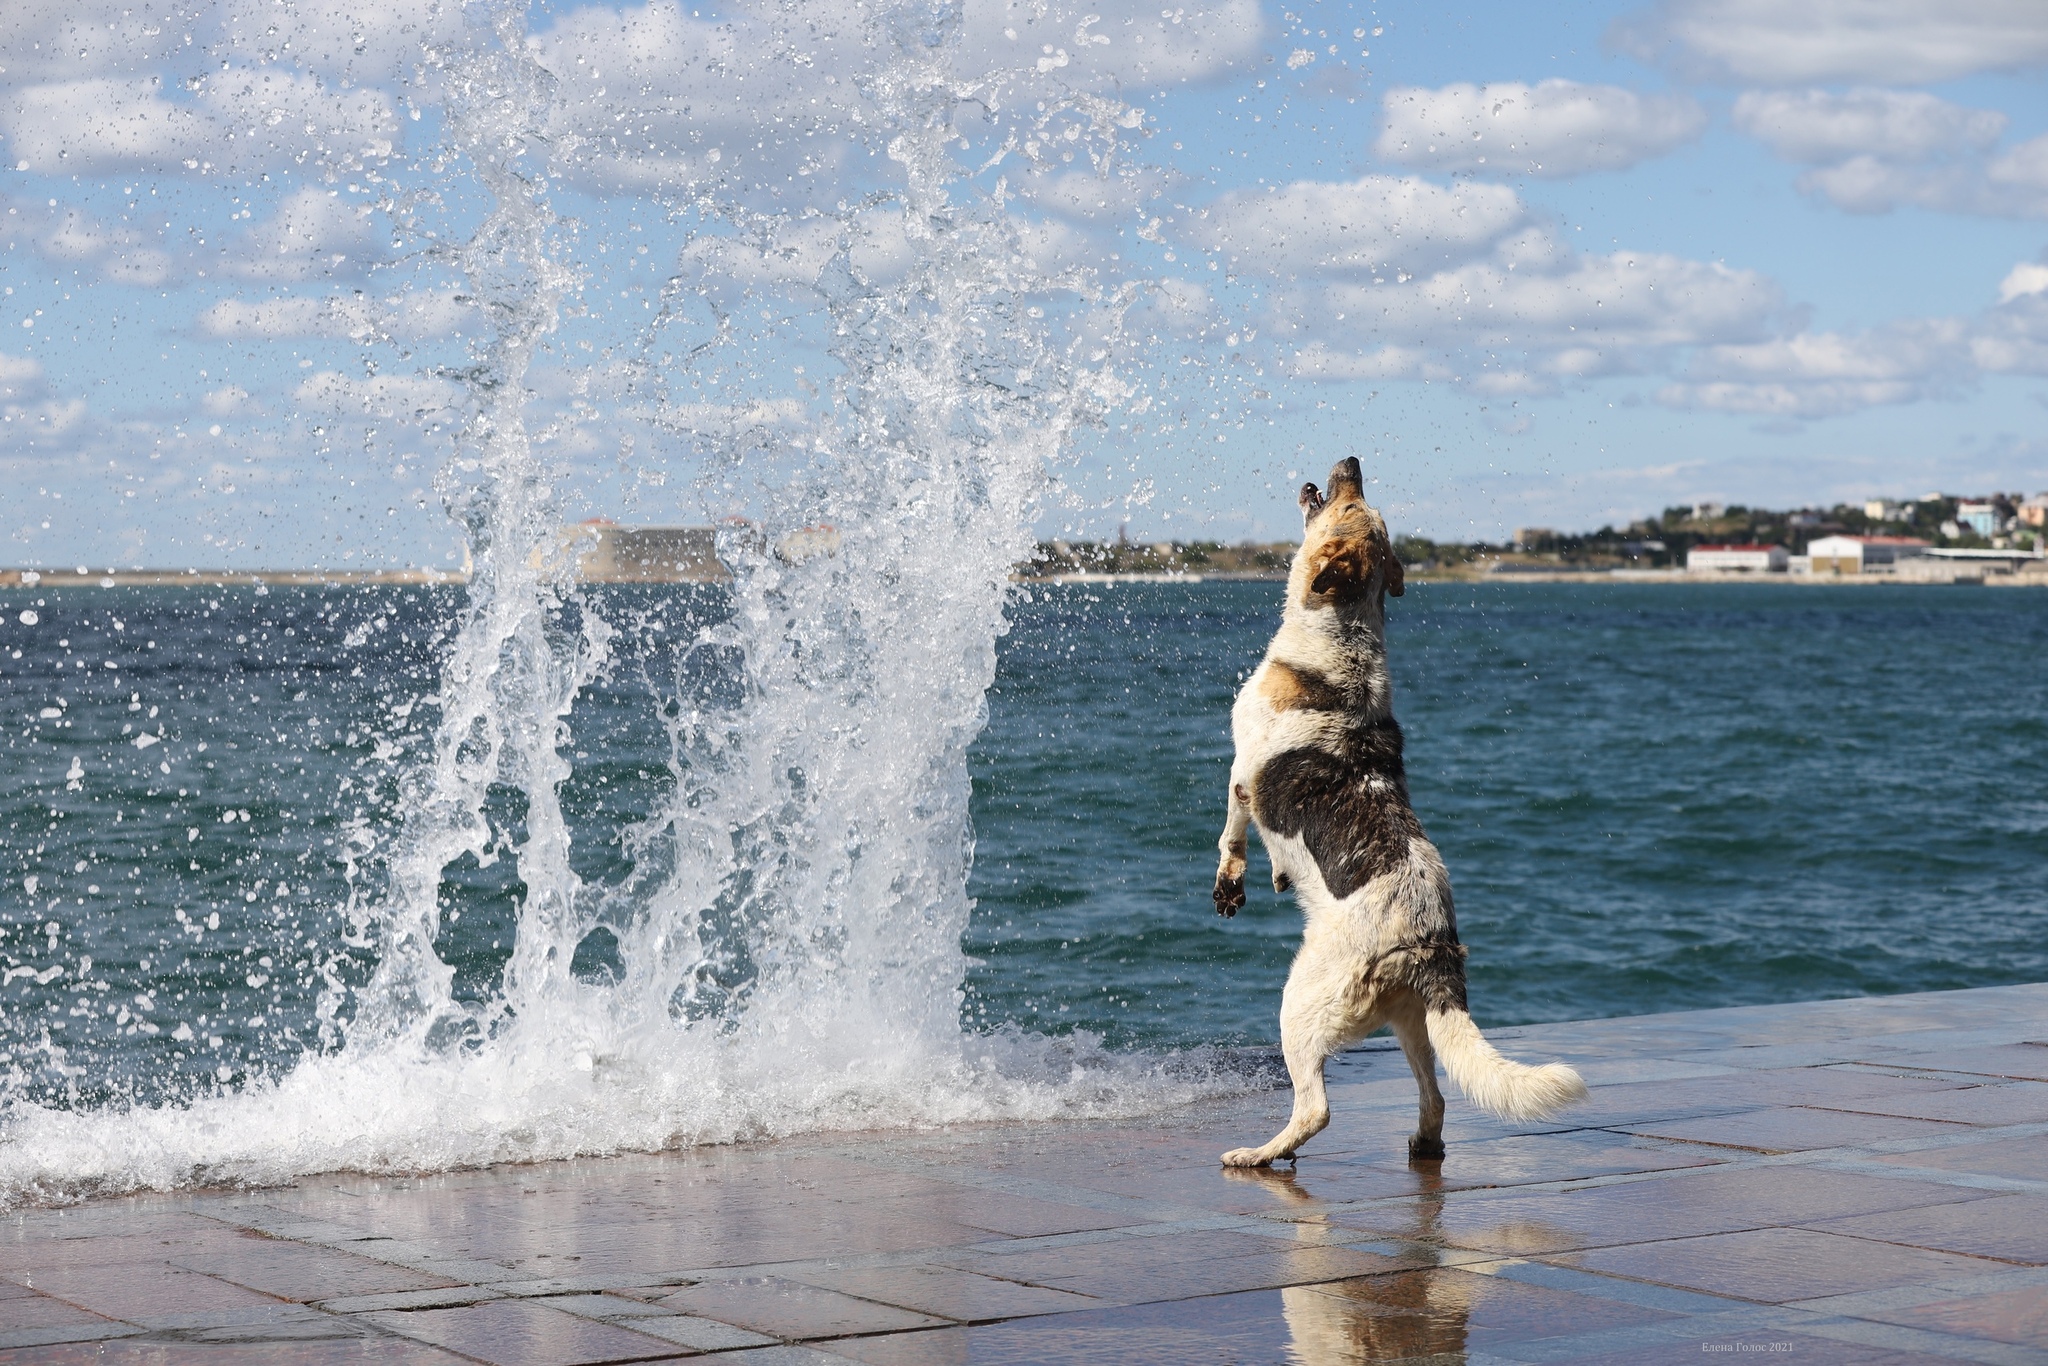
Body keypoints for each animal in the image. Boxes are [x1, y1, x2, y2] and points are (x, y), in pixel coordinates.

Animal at [1212, 458, 1581, 1163]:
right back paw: (1419, 1148)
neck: (1343, 633)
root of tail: (1429, 942)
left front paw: (1232, 884)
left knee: (1317, 1108)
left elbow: (1231, 833)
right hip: (1414, 1023)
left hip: (1300, 1002)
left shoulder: (1242, 776)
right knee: (1435, 1100)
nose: (1351, 463)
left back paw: (1263, 1154)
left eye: (1354, 507)